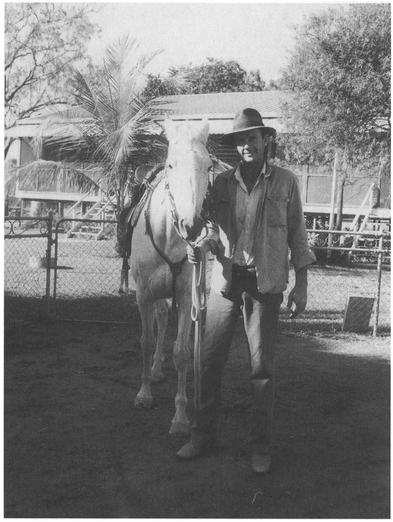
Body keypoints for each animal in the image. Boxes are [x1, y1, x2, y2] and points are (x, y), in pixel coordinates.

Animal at [130, 116, 211, 432]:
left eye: (208, 166)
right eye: (171, 165)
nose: (191, 225)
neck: (166, 235)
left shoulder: (186, 296)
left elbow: (181, 352)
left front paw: (180, 416)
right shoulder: (143, 294)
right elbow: (146, 340)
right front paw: (143, 395)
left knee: (165, 320)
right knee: (161, 320)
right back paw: (152, 372)